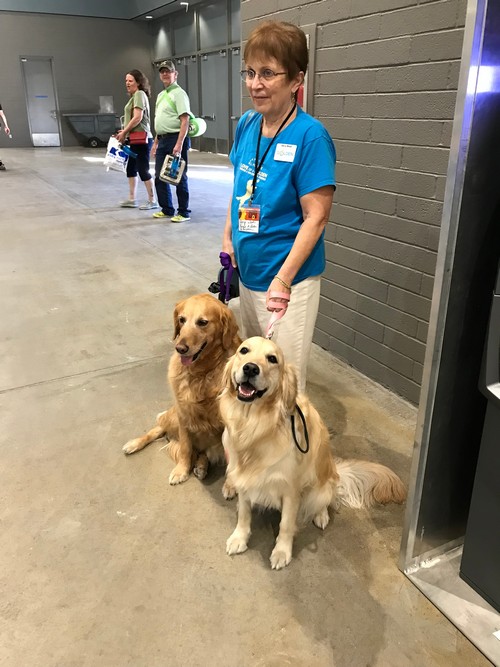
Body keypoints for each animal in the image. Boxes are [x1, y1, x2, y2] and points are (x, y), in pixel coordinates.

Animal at [123, 293, 241, 487]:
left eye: (202, 322)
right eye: (181, 319)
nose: (180, 348)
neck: (201, 372)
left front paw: (231, 484)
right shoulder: (183, 413)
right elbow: (186, 447)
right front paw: (181, 471)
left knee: (202, 452)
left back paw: (201, 466)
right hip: (172, 417)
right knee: (157, 429)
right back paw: (134, 444)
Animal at [219, 336, 407, 570]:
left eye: (272, 359)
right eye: (243, 351)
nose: (251, 368)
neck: (256, 424)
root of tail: (336, 472)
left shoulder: (291, 490)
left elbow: (286, 525)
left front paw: (282, 552)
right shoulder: (243, 475)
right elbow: (244, 514)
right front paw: (239, 538)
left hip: (321, 488)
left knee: (325, 501)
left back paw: (321, 516)